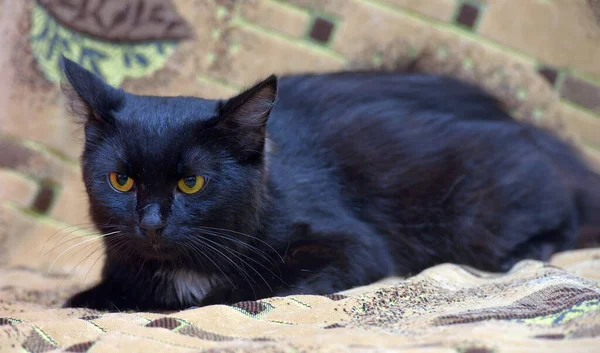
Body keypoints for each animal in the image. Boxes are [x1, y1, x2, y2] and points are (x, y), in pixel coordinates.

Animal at [59, 55, 600, 310]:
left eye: (192, 183)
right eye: (120, 180)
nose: (150, 225)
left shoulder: (354, 246)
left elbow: (256, 287)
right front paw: (92, 298)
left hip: (484, 208)